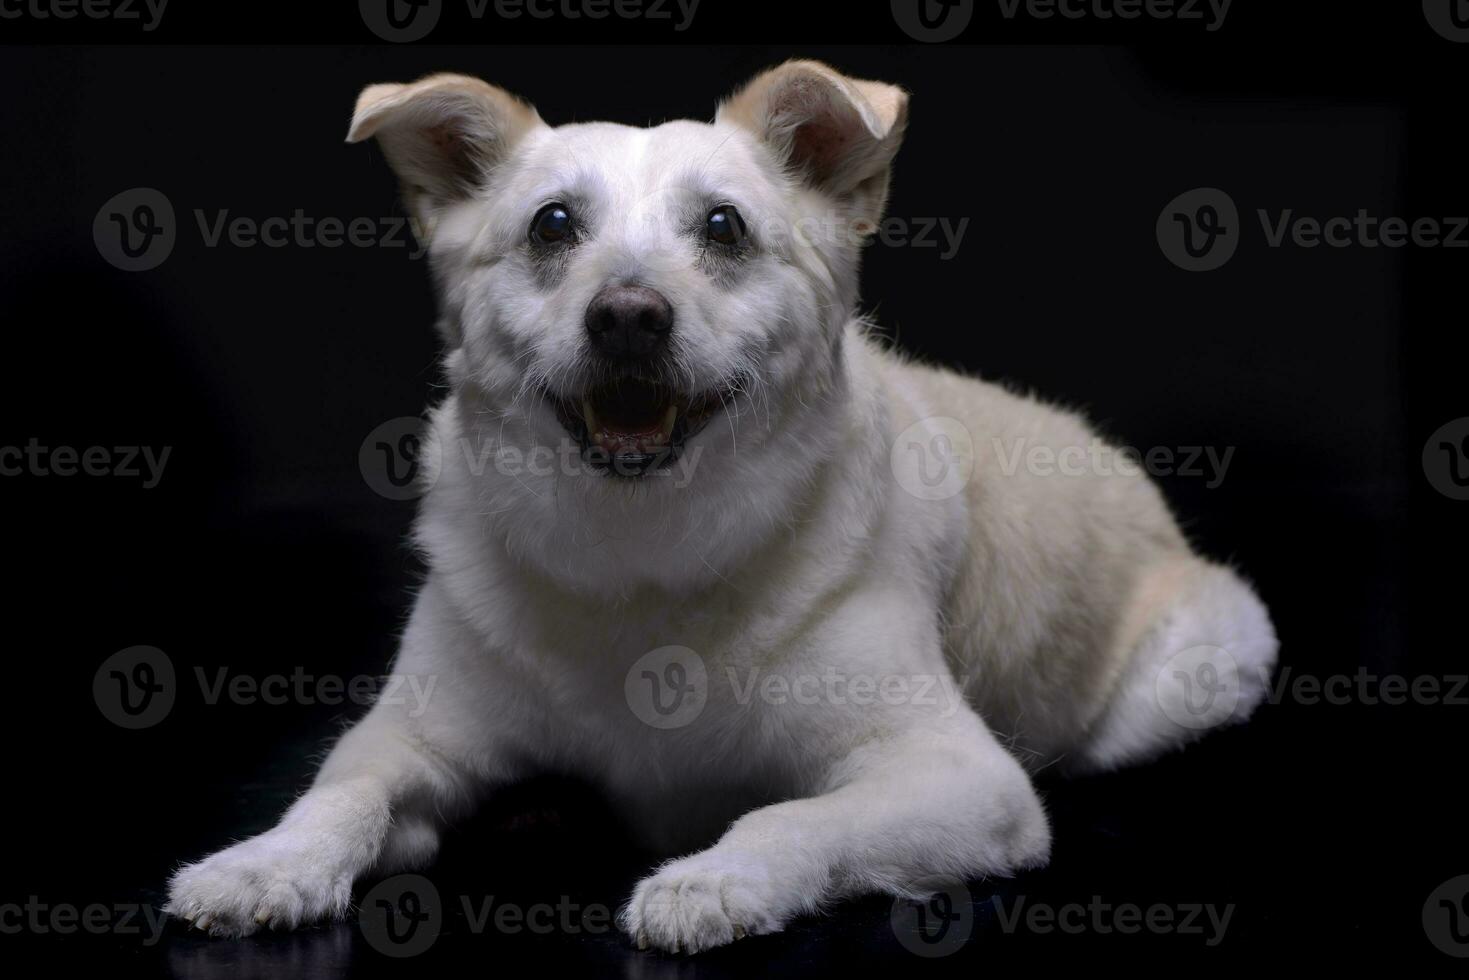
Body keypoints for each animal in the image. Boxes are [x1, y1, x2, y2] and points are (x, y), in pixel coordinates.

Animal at [163, 59, 1275, 952]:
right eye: (552, 224)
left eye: (723, 227)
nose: (626, 316)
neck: (639, 549)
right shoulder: (410, 737)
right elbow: (342, 789)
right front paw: (268, 860)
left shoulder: (963, 777)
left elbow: (793, 817)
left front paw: (713, 878)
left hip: (1199, 670)